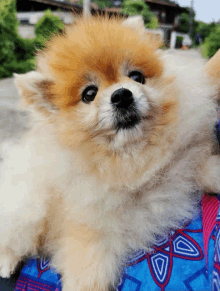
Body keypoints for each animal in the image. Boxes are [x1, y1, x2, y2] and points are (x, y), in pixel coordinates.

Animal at [0, 15, 220, 291]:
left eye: (137, 76)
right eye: (89, 94)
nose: (122, 94)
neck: (131, 165)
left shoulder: (182, 166)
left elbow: (202, 166)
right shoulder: (85, 229)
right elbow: (88, 271)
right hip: (27, 203)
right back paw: (6, 262)